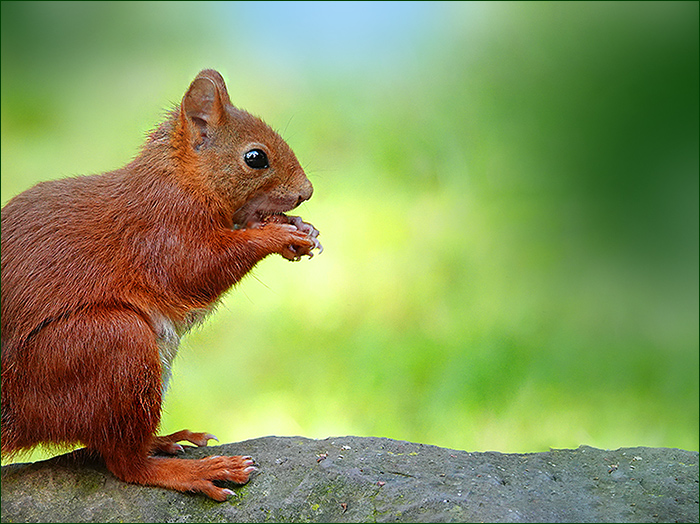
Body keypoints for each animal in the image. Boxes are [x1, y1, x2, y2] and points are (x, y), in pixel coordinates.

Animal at [1, 69, 322, 501]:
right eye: (256, 158)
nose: (307, 192)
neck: (182, 179)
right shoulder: (160, 231)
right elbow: (196, 268)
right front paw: (275, 235)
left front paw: (301, 229)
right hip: (110, 345)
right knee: (124, 465)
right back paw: (194, 472)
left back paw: (165, 439)